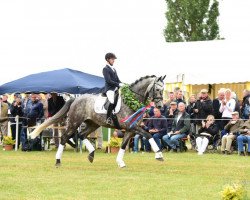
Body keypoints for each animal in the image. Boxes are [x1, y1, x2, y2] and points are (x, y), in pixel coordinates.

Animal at [30, 75, 166, 167]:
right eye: (157, 90)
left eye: (163, 90)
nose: (160, 106)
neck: (131, 100)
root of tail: (75, 99)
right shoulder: (131, 127)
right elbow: (148, 135)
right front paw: (159, 155)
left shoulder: (130, 129)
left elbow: (123, 145)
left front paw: (120, 162)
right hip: (74, 122)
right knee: (64, 138)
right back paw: (58, 161)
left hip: (93, 124)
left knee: (81, 135)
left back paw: (91, 154)